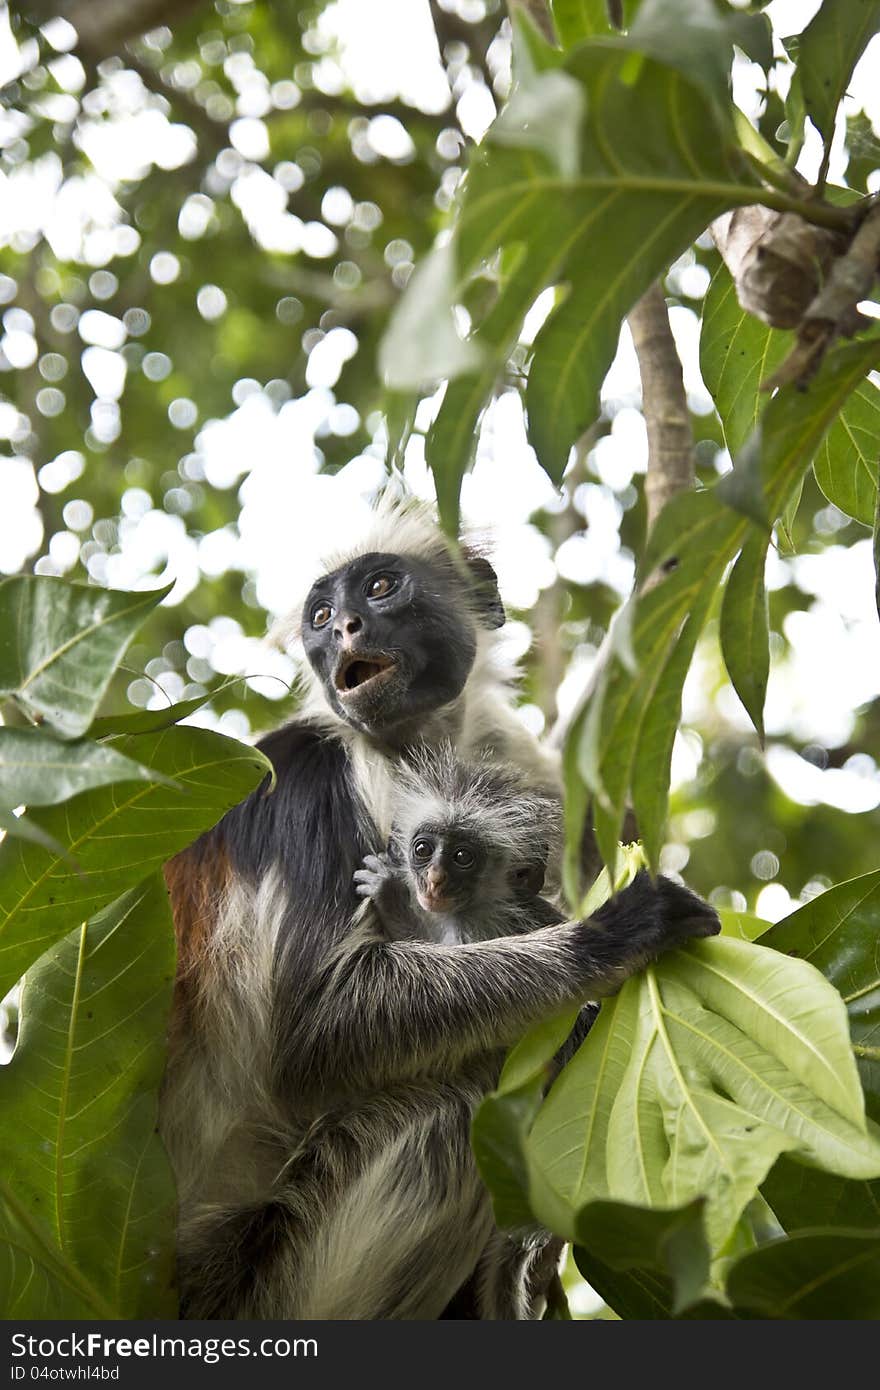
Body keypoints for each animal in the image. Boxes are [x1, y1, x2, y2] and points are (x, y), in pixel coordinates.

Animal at [161, 494, 717, 1317]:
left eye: (380, 587)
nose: (344, 629)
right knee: (459, 1102)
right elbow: (313, 1028)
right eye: (320, 615)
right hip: (272, 1272)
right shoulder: (312, 774)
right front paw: (610, 939)